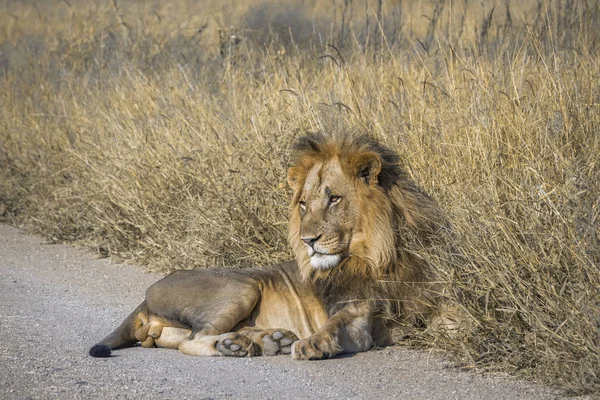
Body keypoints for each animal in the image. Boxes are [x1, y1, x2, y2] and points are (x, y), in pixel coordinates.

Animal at [89, 134, 448, 360]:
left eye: (334, 199)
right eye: (303, 204)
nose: (307, 241)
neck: (376, 257)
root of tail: (148, 293)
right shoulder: (356, 312)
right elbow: (335, 325)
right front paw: (314, 343)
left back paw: (271, 340)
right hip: (241, 287)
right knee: (192, 341)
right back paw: (239, 345)